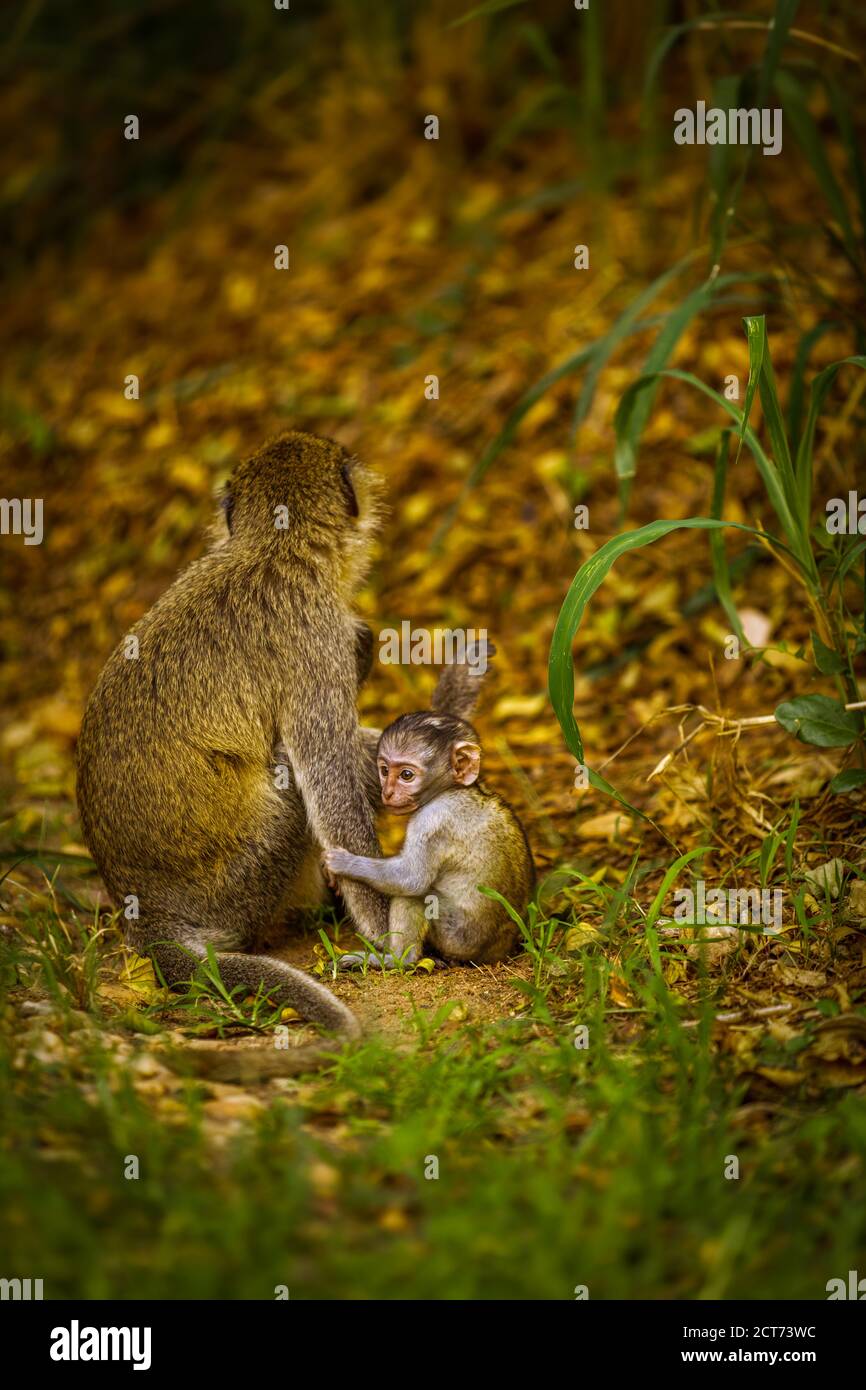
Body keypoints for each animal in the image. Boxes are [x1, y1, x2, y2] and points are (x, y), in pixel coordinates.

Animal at [323, 647, 530, 967]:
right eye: (385, 770)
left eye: (406, 775)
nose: (388, 792)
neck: (452, 790)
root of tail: (499, 952)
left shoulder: (433, 820)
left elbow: (411, 880)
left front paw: (344, 863)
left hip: (456, 938)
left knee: (417, 895)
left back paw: (397, 960)